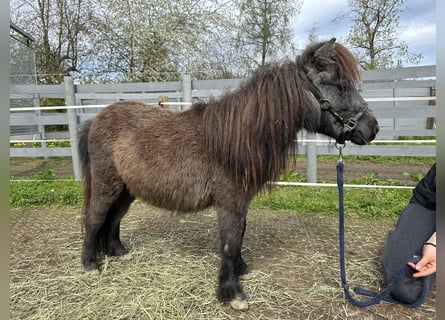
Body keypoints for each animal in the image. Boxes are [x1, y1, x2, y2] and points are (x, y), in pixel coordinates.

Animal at [79, 38, 378, 310]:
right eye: (339, 84)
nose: (372, 128)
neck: (238, 137)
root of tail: (96, 119)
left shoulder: (241, 203)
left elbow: (240, 237)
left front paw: (241, 270)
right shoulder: (229, 204)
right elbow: (230, 243)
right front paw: (233, 294)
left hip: (126, 190)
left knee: (113, 219)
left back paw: (119, 253)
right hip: (106, 185)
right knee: (95, 218)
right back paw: (90, 265)